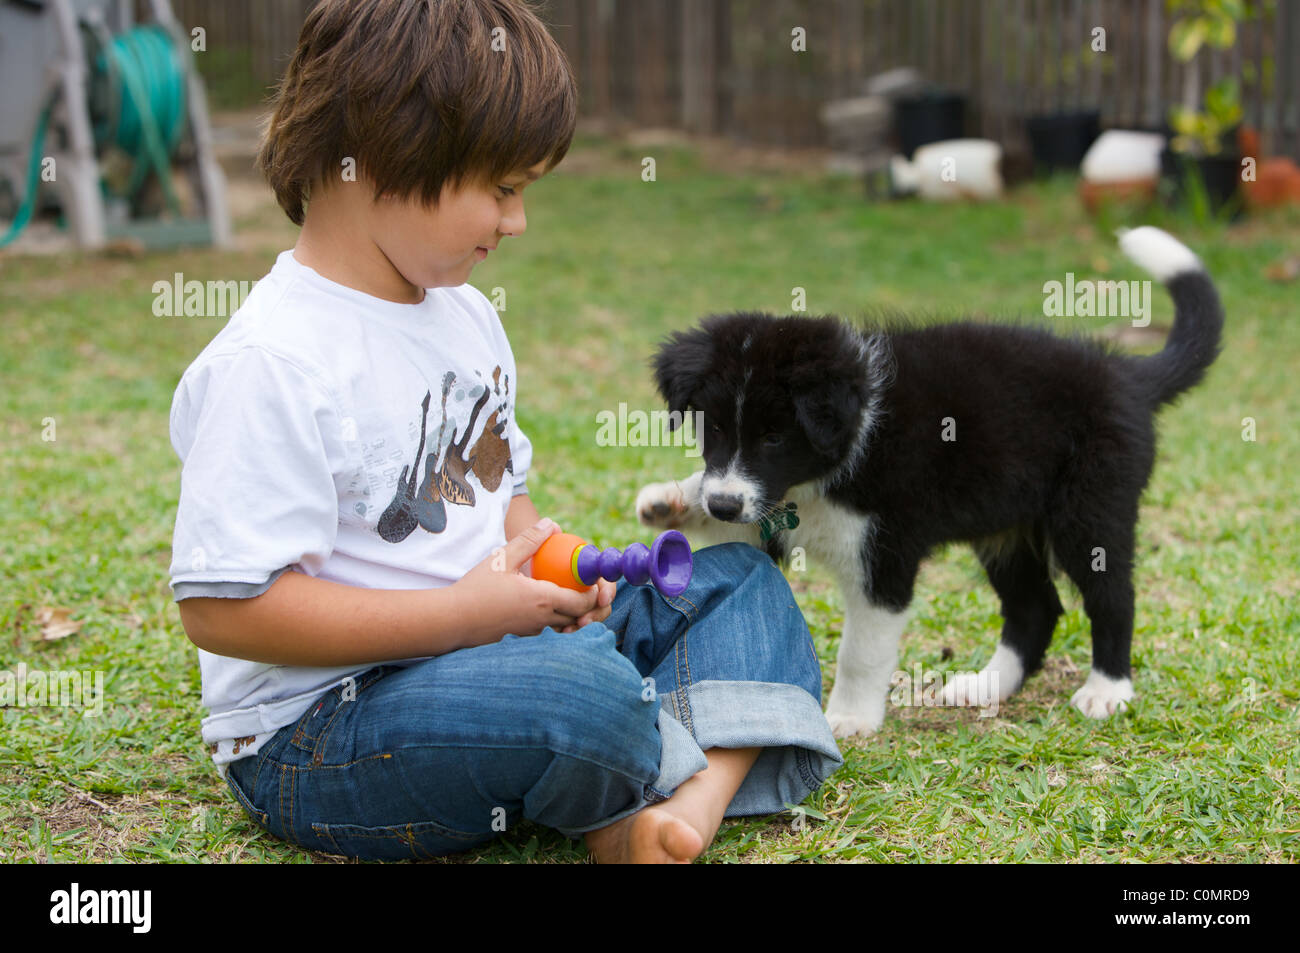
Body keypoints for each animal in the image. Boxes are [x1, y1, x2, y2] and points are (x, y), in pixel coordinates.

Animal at [639, 228, 1227, 738]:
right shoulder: (764, 511)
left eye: (775, 438)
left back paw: (1107, 690)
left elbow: (861, 651)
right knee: (1035, 607)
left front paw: (849, 719)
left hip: (1090, 509)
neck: (851, 439)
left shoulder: (886, 554)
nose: (721, 502)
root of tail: (1128, 376)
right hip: (1005, 524)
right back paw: (987, 686)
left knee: (1112, 595)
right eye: (713, 428)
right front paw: (672, 502)